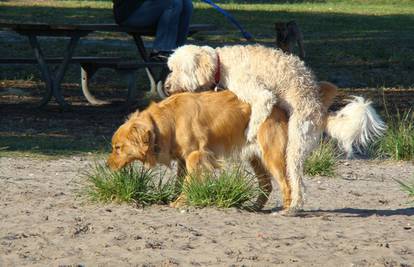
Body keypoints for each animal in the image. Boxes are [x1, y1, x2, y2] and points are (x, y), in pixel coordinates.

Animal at [163, 45, 384, 215]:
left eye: (178, 69)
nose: (166, 86)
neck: (221, 62)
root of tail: (322, 112)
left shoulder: (260, 94)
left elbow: (259, 111)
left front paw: (250, 132)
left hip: (295, 142)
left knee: (296, 183)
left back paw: (292, 208)